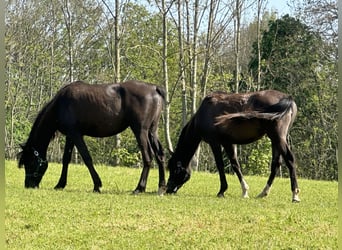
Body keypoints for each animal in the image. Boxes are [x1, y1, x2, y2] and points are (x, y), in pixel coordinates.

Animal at [18, 79, 167, 194]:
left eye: (29, 163)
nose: (29, 185)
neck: (60, 105)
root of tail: (154, 88)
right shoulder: (70, 136)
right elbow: (66, 159)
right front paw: (60, 184)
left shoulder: (76, 135)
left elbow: (87, 158)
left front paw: (97, 185)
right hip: (152, 132)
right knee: (159, 155)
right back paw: (161, 187)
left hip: (140, 131)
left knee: (148, 157)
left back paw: (139, 188)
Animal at [166, 90, 300, 203]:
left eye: (175, 170)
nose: (168, 189)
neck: (204, 113)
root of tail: (287, 98)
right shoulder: (227, 143)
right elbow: (235, 164)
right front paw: (244, 191)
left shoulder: (215, 143)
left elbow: (220, 165)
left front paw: (222, 191)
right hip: (275, 140)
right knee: (276, 164)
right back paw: (263, 192)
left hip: (278, 138)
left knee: (290, 160)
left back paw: (295, 195)